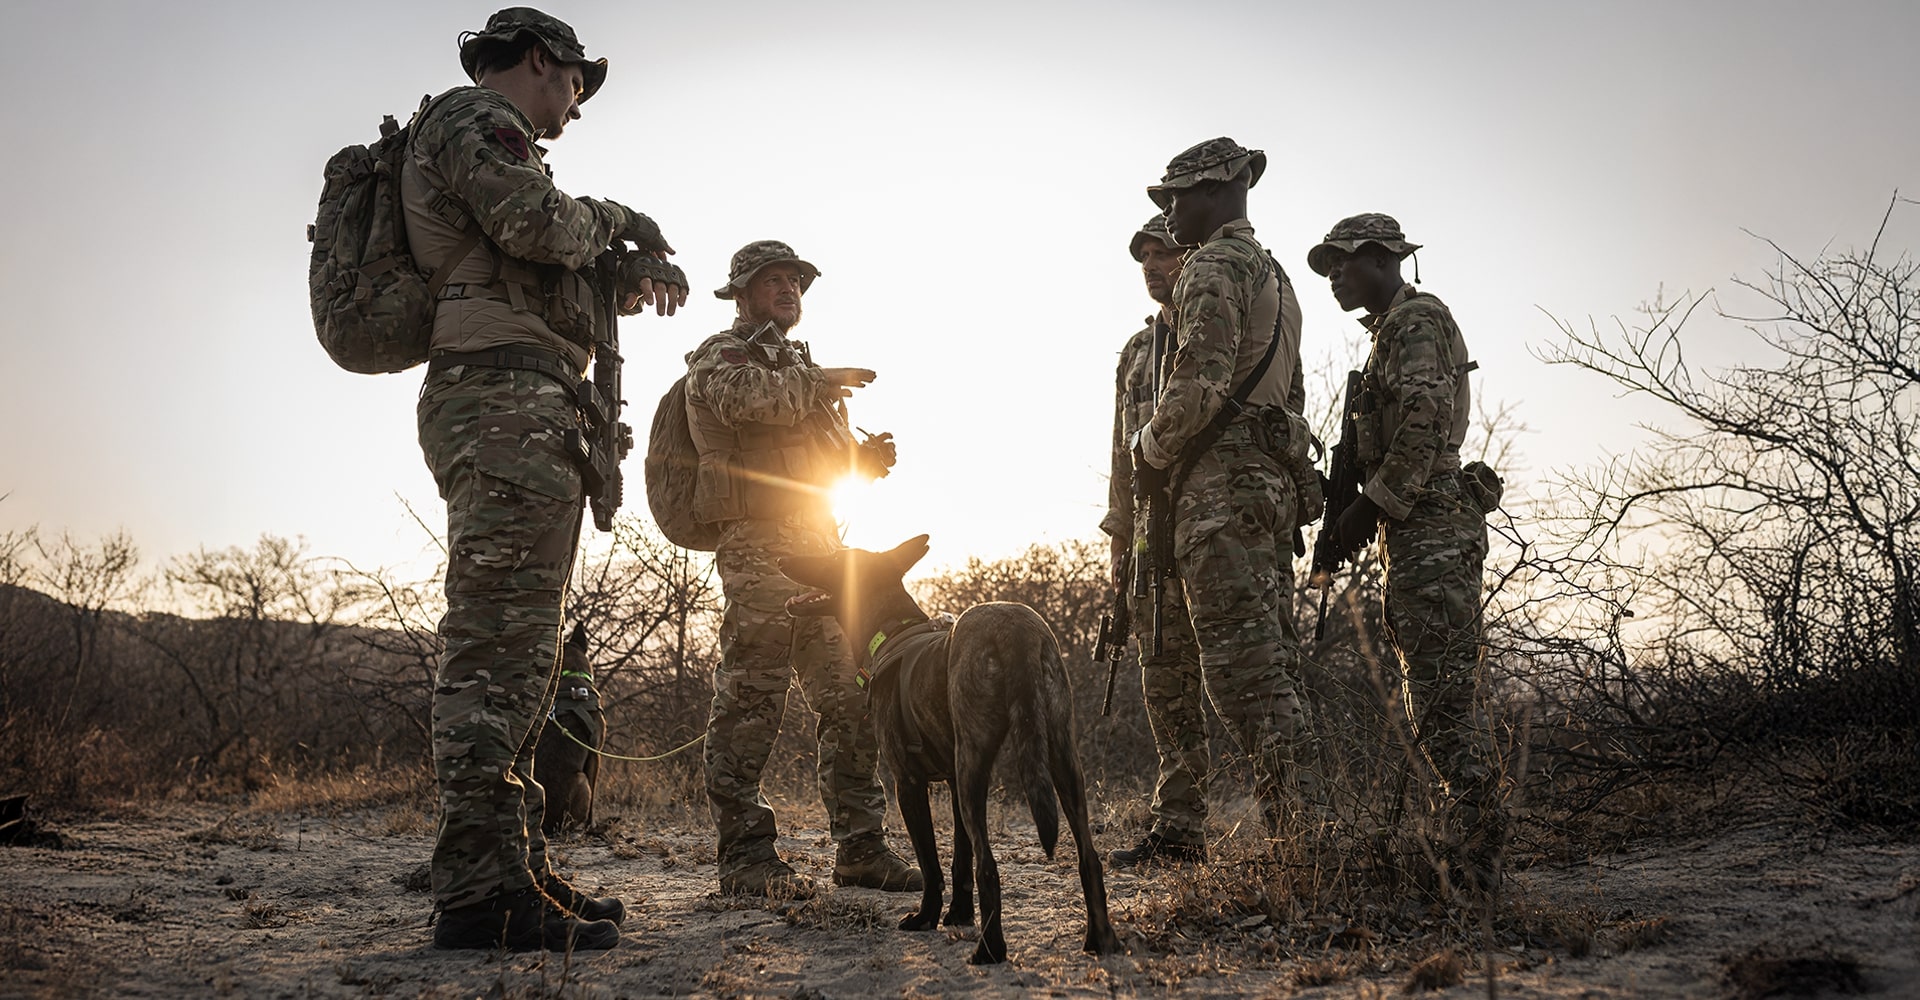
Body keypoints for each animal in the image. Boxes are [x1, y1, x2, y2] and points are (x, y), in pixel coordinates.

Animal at [771, 533, 1121, 963]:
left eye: (834, 559)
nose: (782, 559)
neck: (890, 630)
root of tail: (1016, 628)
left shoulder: (909, 784)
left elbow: (933, 864)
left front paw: (927, 917)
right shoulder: (953, 784)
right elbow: (959, 857)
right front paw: (959, 914)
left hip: (974, 768)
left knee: (989, 865)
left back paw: (989, 950)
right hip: (1062, 761)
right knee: (1088, 857)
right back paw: (1101, 939)